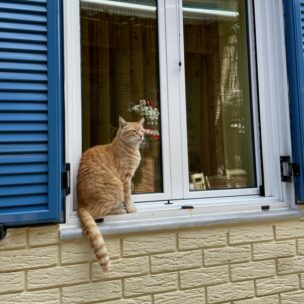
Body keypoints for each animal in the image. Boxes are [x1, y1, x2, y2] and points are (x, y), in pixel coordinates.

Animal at [78, 115, 145, 270]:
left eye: (142, 130)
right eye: (134, 131)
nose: (141, 135)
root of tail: (80, 202)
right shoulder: (125, 179)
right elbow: (128, 196)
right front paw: (130, 209)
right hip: (115, 186)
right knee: (98, 213)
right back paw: (120, 210)